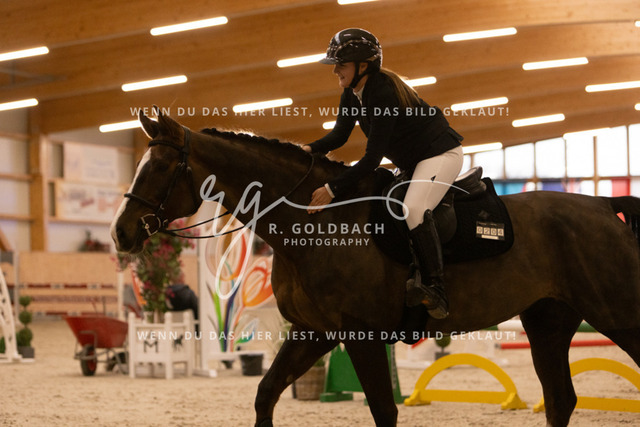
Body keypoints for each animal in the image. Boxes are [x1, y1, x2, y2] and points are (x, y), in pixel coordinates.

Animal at [111, 108, 640, 427]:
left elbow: (385, 412)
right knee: (560, 398)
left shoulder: (360, 335)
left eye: (160, 169)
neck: (314, 221)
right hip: (548, 320)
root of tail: (601, 203)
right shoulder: (313, 332)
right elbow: (265, 393)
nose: (121, 233)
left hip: (617, 316)